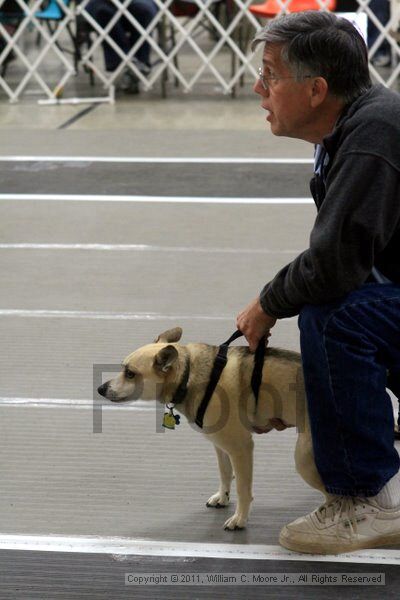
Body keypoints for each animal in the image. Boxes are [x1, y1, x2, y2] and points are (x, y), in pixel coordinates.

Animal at [97, 328, 328, 528]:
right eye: (123, 368)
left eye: (130, 373)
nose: (100, 389)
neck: (188, 376)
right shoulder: (221, 446)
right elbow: (225, 473)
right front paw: (222, 498)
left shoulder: (241, 448)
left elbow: (243, 488)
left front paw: (240, 518)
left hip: (304, 459)